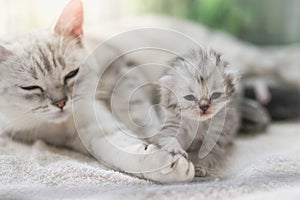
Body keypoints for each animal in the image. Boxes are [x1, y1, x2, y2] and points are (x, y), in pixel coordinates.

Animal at [0, 0, 195, 183]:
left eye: (71, 74)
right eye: (30, 87)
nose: (61, 103)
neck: (64, 125)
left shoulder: (122, 71)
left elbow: (139, 117)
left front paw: (168, 144)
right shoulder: (91, 136)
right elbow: (123, 152)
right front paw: (170, 166)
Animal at [156, 48, 240, 177]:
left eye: (215, 95)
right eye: (190, 97)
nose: (204, 106)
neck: (198, 122)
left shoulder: (218, 131)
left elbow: (209, 152)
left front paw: (201, 166)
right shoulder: (172, 120)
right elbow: (169, 135)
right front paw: (176, 149)